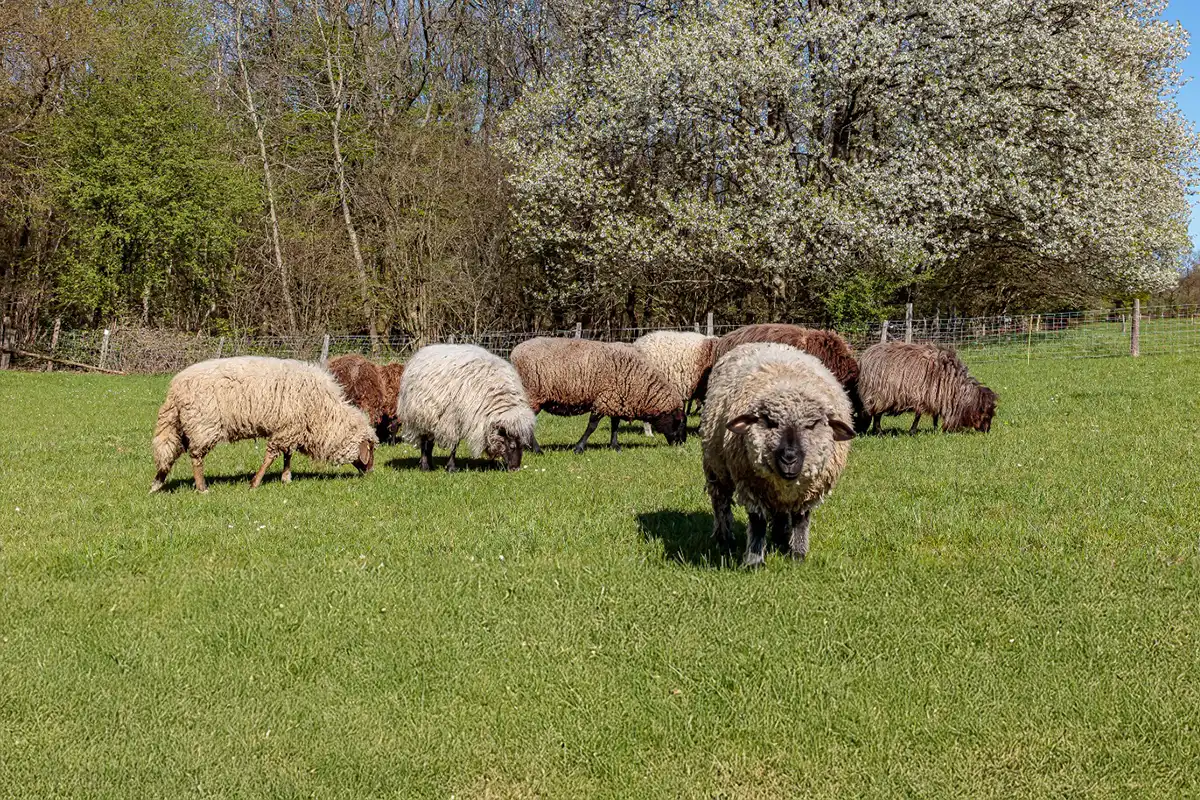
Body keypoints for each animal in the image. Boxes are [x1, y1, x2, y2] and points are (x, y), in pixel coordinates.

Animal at [149, 356, 377, 493]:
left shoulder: (290, 428)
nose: (371, 473)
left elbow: (287, 455)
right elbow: (271, 456)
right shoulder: (287, 428)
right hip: (203, 425)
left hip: (182, 426)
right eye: (371, 449)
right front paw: (255, 483)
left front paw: (286, 477)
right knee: (196, 457)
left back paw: (157, 483)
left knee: (170, 452)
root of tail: (175, 389)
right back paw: (202, 488)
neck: (325, 413)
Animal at [396, 343, 536, 472]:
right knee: (425, 441)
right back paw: (425, 466)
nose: (515, 468)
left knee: (429, 442)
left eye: (523, 445)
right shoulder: (453, 418)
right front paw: (451, 467)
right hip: (424, 413)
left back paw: (430, 465)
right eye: (512, 446)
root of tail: (423, 351)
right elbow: (454, 444)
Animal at [510, 337, 685, 454]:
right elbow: (592, 426)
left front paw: (615, 446)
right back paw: (537, 450)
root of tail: (514, 353)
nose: (682, 443)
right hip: (532, 394)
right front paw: (579, 448)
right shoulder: (603, 400)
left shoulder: (615, 399)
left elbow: (615, 425)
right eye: (678, 422)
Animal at [701, 342, 855, 568]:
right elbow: (757, 523)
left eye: (812, 425)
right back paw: (724, 538)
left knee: (781, 511)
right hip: (716, 467)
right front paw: (754, 561)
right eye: (770, 422)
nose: (789, 458)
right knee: (721, 502)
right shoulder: (751, 486)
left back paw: (781, 538)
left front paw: (798, 555)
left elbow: (801, 520)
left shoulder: (808, 492)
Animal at [858, 341, 997, 434]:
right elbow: (918, 415)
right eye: (986, 414)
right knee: (877, 414)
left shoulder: (935, 396)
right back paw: (879, 432)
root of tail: (865, 355)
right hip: (880, 395)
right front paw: (913, 431)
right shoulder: (923, 395)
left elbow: (934, 415)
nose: (987, 431)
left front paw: (935, 430)